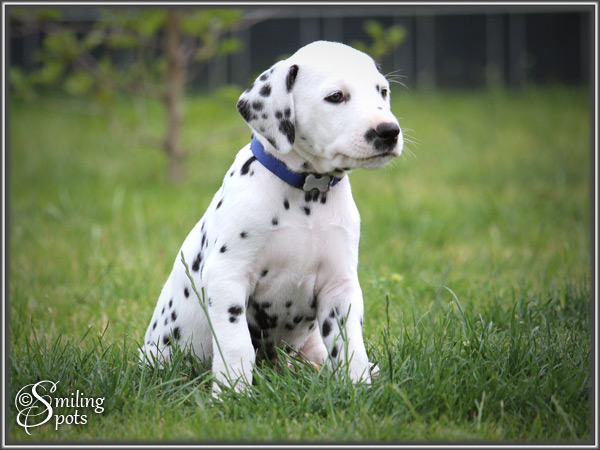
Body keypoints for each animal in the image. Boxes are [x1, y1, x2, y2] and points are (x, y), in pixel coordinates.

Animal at [139, 41, 403, 394]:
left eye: (382, 91)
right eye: (336, 96)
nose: (389, 131)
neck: (308, 193)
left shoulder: (339, 286)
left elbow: (350, 346)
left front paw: (358, 388)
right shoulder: (227, 276)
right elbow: (237, 346)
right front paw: (232, 393)